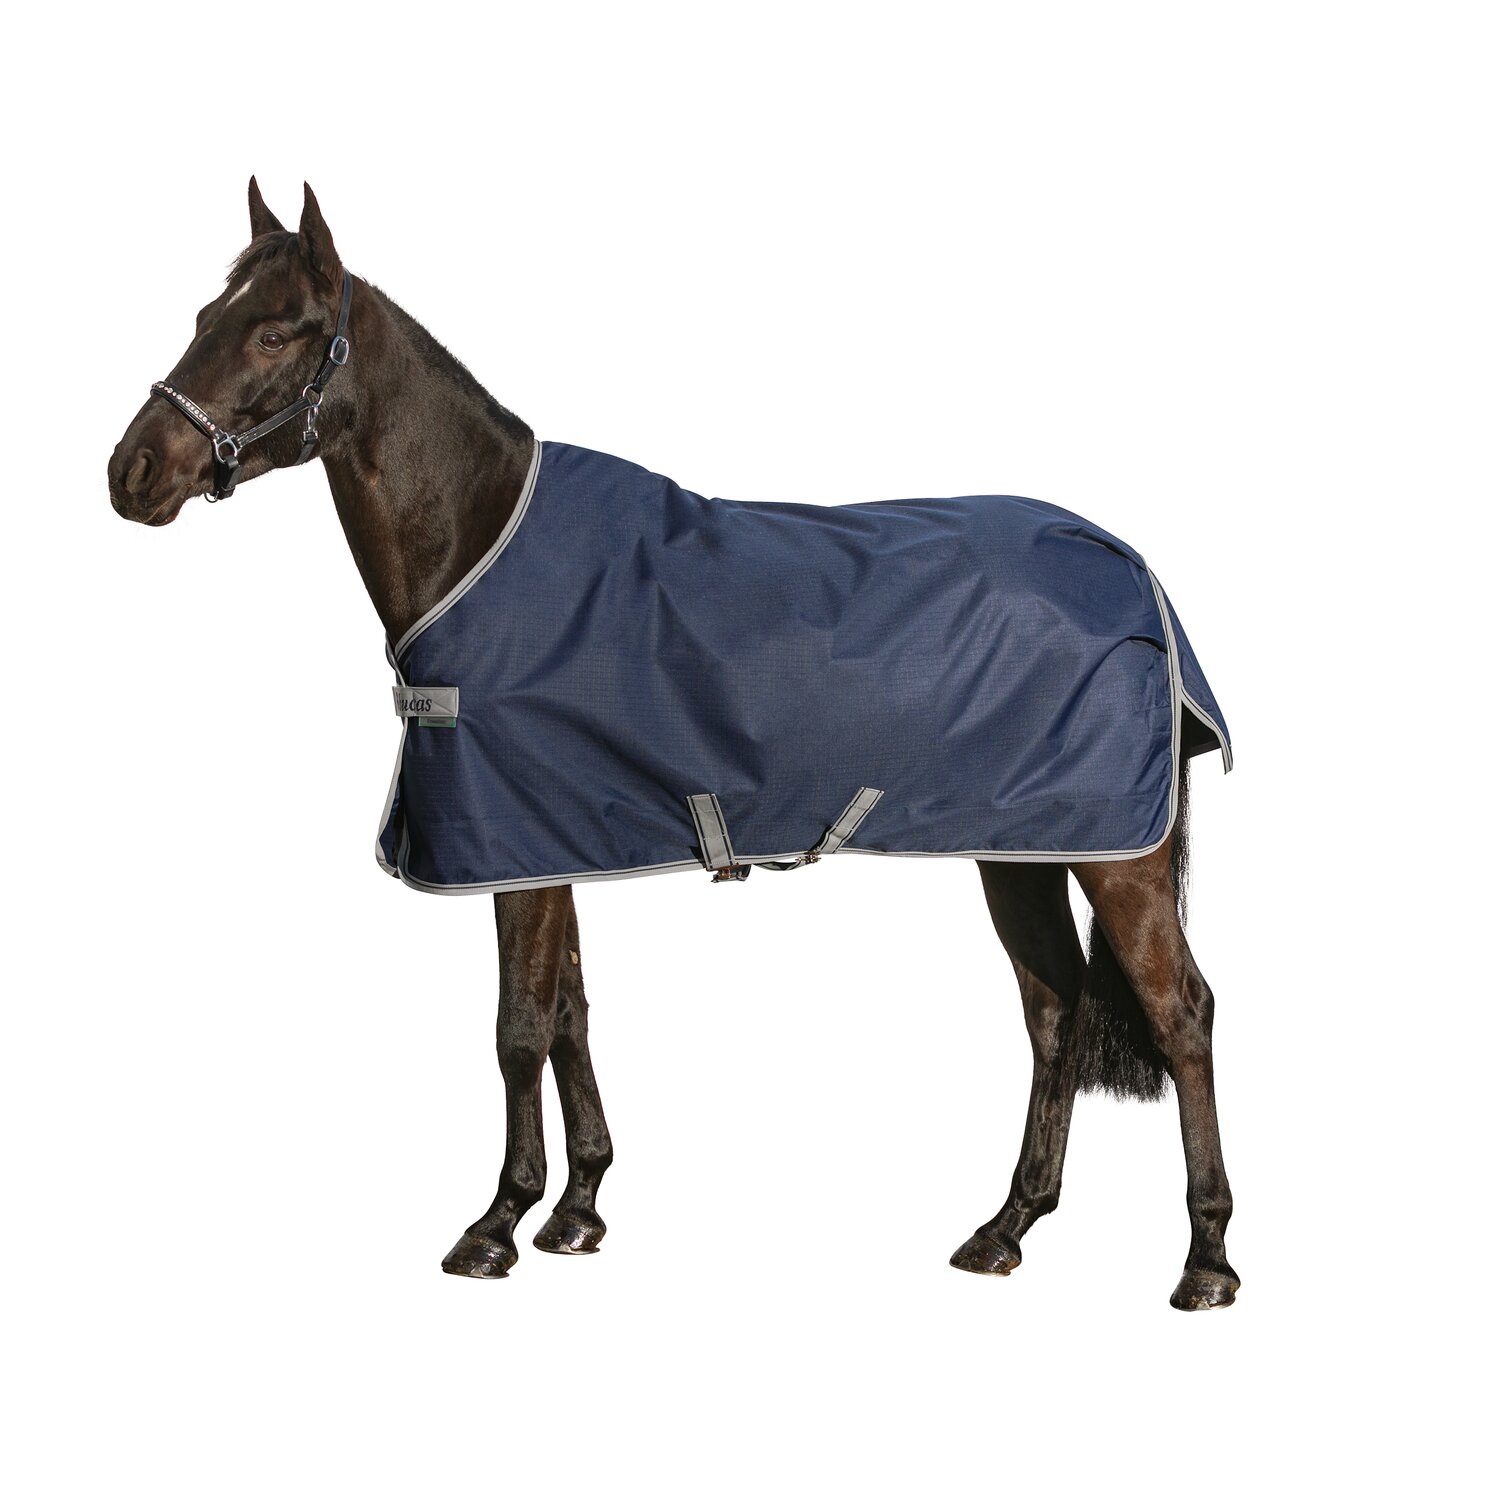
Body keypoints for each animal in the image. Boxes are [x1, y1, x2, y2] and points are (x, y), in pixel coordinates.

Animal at [108, 180, 1238, 1310]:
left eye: (273, 332)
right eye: (204, 317)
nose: (131, 472)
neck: (480, 538)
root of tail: (1130, 567)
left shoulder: (511, 842)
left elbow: (519, 1029)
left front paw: (496, 1224)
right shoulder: (550, 836)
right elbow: (569, 1013)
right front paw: (575, 1209)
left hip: (1115, 857)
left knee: (1180, 1013)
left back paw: (1206, 1260)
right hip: (1022, 849)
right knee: (1053, 1009)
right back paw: (1006, 1228)